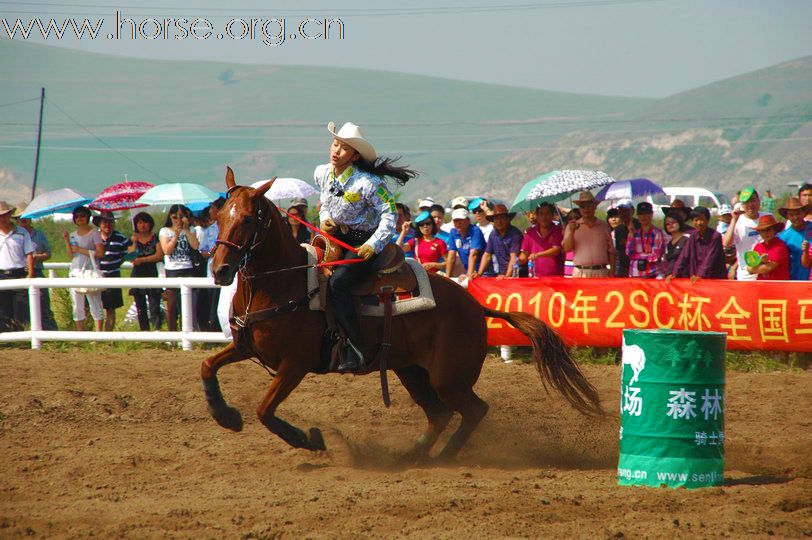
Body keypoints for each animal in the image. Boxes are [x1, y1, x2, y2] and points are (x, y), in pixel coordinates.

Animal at [203, 169, 604, 460]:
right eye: (218, 215)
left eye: (248, 220)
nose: (220, 270)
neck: (285, 283)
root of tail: (475, 305)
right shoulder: (247, 347)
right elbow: (208, 367)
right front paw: (225, 415)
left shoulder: (294, 365)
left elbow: (264, 411)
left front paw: (311, 439)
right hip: (410, 370)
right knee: (440, 414)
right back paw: (412, 455)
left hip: (447, 377)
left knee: (473, 410)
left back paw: (442, 457)